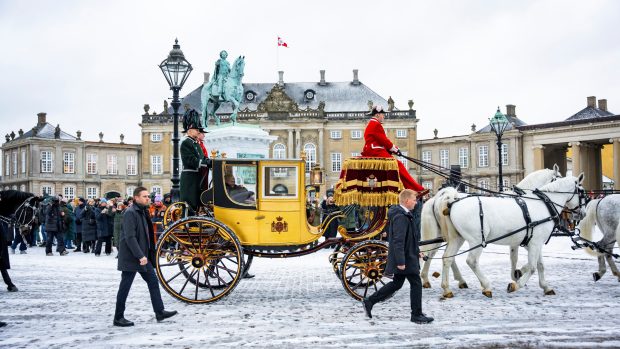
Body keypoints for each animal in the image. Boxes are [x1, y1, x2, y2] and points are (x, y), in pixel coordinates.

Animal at [422, 164, 560, 286]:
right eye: (558, 177)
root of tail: (444, 199)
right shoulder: (523, 239)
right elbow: (516, 258)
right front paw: (517, 274)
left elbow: (523, 260)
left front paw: (519, 275)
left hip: (448, 236)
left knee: (438, 254)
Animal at [438, 173, 584, 296]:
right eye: (582, 192)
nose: (582, 214)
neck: (543, 204)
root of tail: (453, 201)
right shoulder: (535, 243)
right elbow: (532, 267)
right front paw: (516, 284)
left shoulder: (533, 243)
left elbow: (539, 265)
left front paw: (545, 286)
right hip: (477, 240)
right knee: (471, 261)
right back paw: (486, 285)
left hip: (457, 238)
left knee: (447, 258)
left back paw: (446, 289)